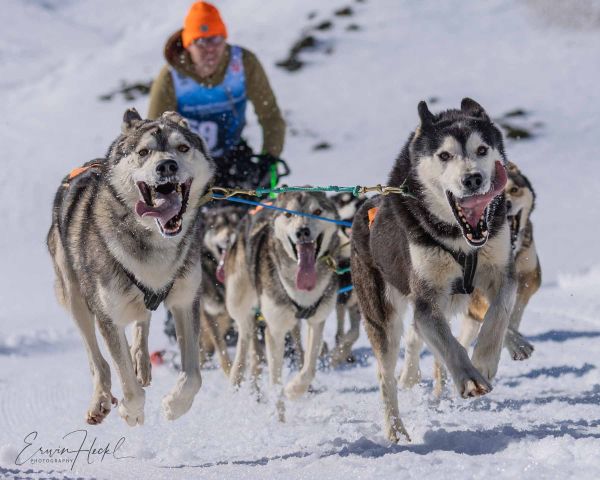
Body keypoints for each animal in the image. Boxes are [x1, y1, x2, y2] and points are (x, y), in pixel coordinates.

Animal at [47, 109, 214, 426]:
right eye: (144, 152)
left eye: (182, 147)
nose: (167, 165)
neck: (153, 241)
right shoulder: (108, 316)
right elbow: (127, 383)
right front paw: (131, 411)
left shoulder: (186, 300)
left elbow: (194, 376)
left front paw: (175, 405)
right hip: (76, 299)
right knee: (97, 360)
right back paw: (101, 399)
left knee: (142, 320)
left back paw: (141, 361)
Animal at [224, 191, 339, 417]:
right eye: (288, 214)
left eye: (317, 211)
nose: (302, 231)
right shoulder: (275, 330)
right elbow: (275, 382)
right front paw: (279, 419)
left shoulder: (317, 322)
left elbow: (309, 368)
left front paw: (293, 390)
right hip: (238, 299)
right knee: (245, 334)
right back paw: (236, 376)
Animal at [351, 98, 516, 442]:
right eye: (444, 155)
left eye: (482, 150)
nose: (472, 179)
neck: (461, 242)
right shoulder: (426, 299)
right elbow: (448, 343)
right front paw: (468, 377)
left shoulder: (501, 273)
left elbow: (499, 313)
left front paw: (484, 360)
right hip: (382, 318)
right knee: (386, 376)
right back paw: (396, 429)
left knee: (417, 337)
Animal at [458, 161, 541, 360]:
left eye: (514, 189)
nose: (506, 204)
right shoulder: (476, 296)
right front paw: (517, 343)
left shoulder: (530, 276)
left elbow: (513, 310)